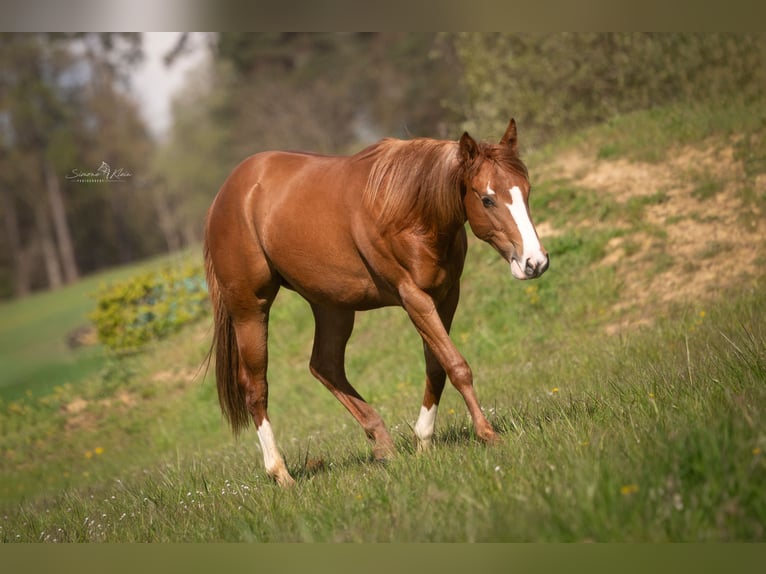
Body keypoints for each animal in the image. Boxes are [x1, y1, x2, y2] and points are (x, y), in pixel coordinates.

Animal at [207, 119, 548, 488]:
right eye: (486, 199)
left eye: (526, 190)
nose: (535, 262)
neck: (410, 210)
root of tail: (226, 195)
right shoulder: (413, 297)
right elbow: (457, 366)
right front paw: (487, 434)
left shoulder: (446, 295)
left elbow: (437, 366)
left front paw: (423, 440)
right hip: (250, 309)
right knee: (256, 387)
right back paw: (280, 472)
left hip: (332, 307)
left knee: (325, 366)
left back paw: (383, 444)